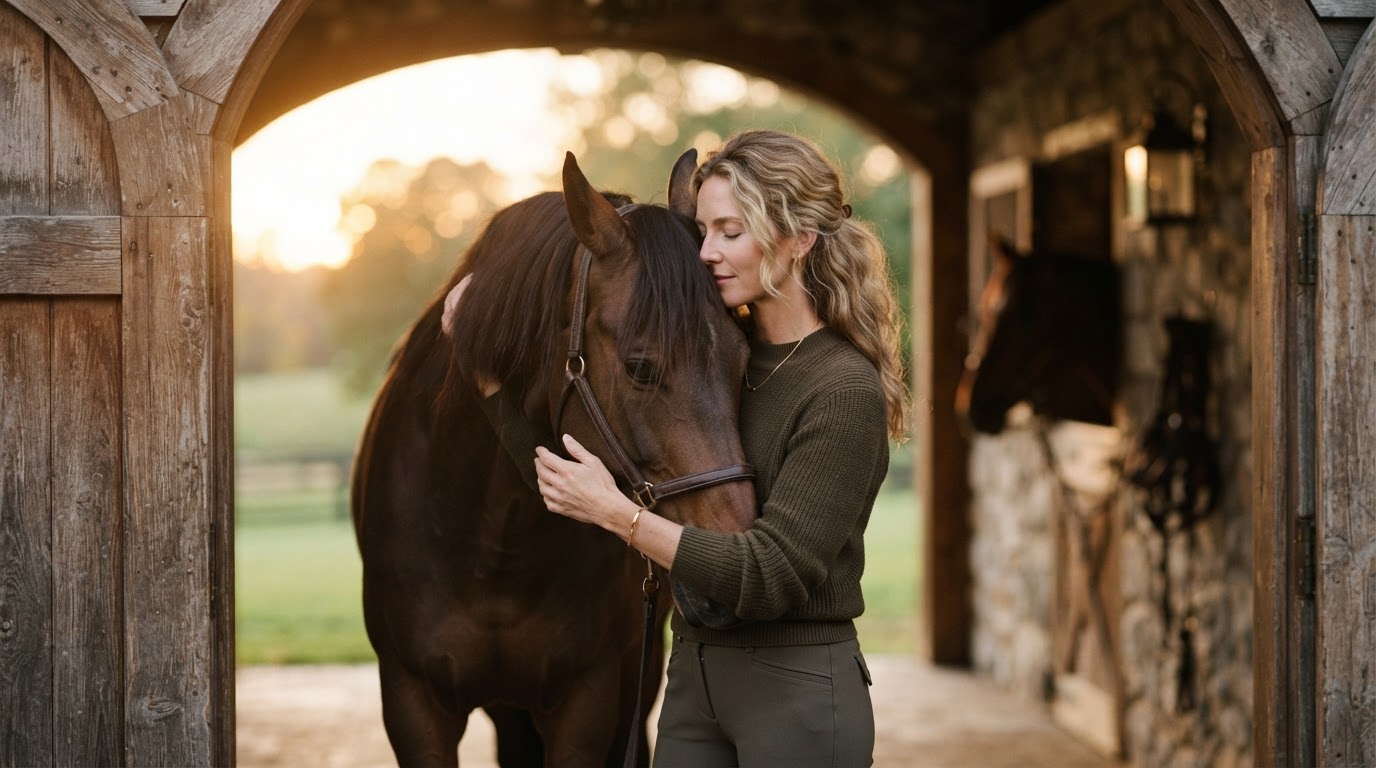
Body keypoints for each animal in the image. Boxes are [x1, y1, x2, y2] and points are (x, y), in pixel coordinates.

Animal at [351, 150, 757, 767]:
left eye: (744, 358)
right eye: (640, 367)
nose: (731, 575)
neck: (493, 541)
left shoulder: (587, 698)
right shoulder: (412, 703)